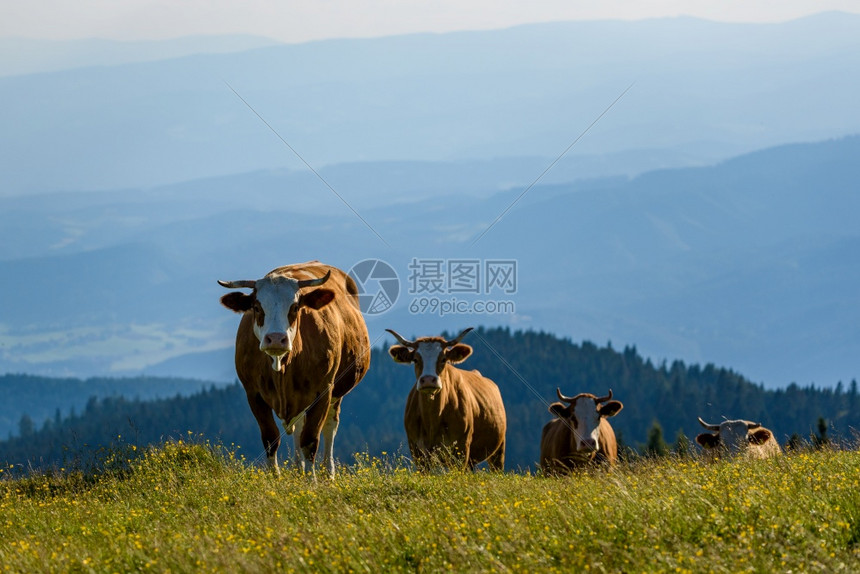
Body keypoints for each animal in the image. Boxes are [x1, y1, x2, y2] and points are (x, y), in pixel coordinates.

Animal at [388, 328, 508, 472]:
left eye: (444, 359)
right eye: (415, 360)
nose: (428, 380)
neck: (432, 420)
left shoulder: (461, 449)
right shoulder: (417, 451)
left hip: (498, 449)